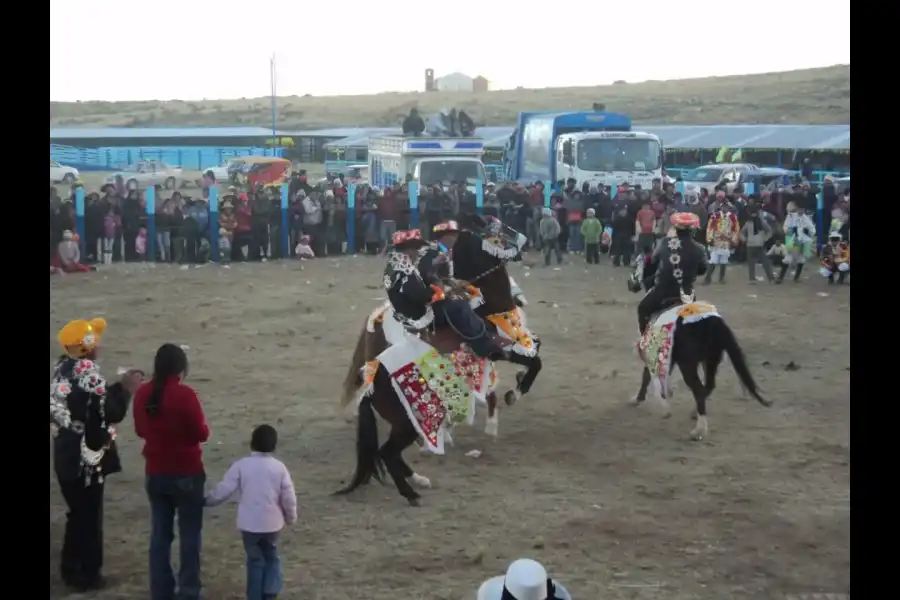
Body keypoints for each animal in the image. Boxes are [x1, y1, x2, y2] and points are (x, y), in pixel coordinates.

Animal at [628, 251, 768, 438]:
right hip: (711, 359)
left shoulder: (653, 352)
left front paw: (641, 399)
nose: (630, 284)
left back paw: (698, 430)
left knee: (699, 389)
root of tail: (713, 322)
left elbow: (647, 376)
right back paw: (695, 414)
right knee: (709, 386)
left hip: (689, 364)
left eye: (636, 263)